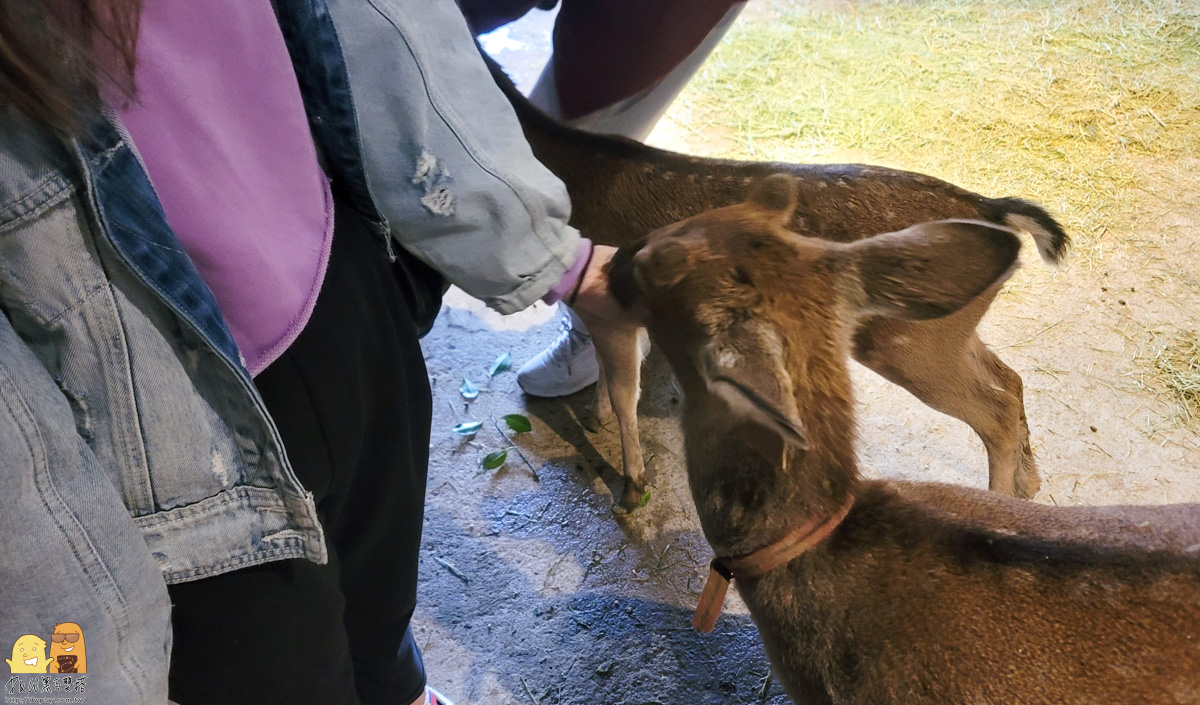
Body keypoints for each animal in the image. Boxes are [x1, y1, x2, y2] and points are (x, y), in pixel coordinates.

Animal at [487, 56, 1070, 513]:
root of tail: (994, 209)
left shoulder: (607, 299)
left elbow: (625, 389)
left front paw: (631, 489)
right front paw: (594, 418)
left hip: (904, 340)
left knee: (994, 409)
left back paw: (1002, 502)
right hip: (950, 329)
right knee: (1009, 379)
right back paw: (1029, 484)